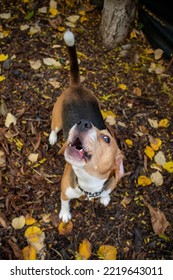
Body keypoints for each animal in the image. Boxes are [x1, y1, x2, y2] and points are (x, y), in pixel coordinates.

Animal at [49, 30, 123, 223]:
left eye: (106, 138)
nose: (82, 122)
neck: (89, 186)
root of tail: (77, 86)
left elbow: (107, 192)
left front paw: (105, 198)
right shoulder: (64, 191)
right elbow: (65, 203)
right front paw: (65, 214)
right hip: (57, 119)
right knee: (53, 128)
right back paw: (52, 138)